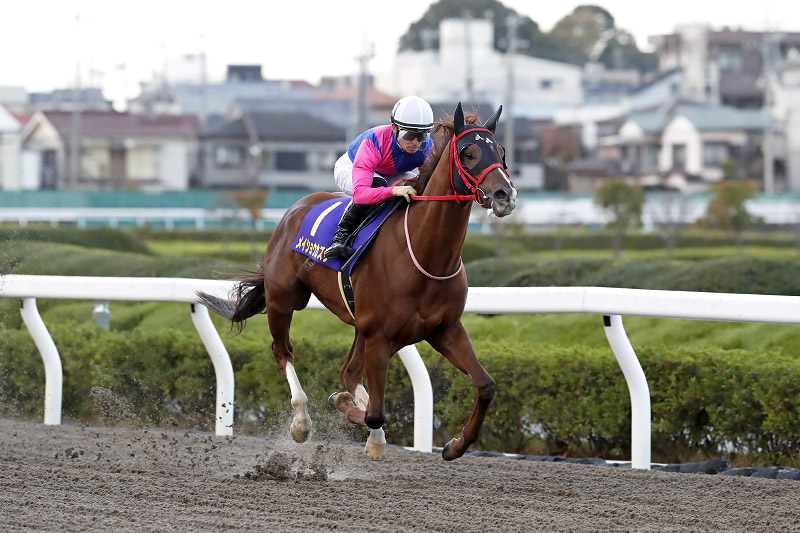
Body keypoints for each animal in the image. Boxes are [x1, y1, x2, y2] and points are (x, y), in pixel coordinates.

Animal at [198, 102, 520, 460]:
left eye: (501, 152)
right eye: (468, 153)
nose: (505, 195)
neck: (424, 255)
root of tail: (295, 209)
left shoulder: (445, 330)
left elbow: (486, 386)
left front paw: (455, 445)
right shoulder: (380, 335)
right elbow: (375, 413)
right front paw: (355, 416)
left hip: (362, 325)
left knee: (349, 372)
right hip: (284, 299)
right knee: (284, 352)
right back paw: (302, 421)